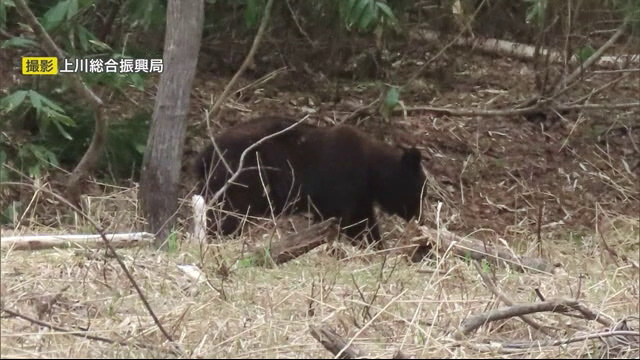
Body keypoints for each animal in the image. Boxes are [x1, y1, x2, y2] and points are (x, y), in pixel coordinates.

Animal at [192, 116, 428, 249]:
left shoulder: (359, 195)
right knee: (228, 213)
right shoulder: (340, 182)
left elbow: (361, 224)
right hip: (242, 178)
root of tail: (205, 153)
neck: (371, 171)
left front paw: (376, 247)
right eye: (420, 190)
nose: (419, 218)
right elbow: (337, 218)